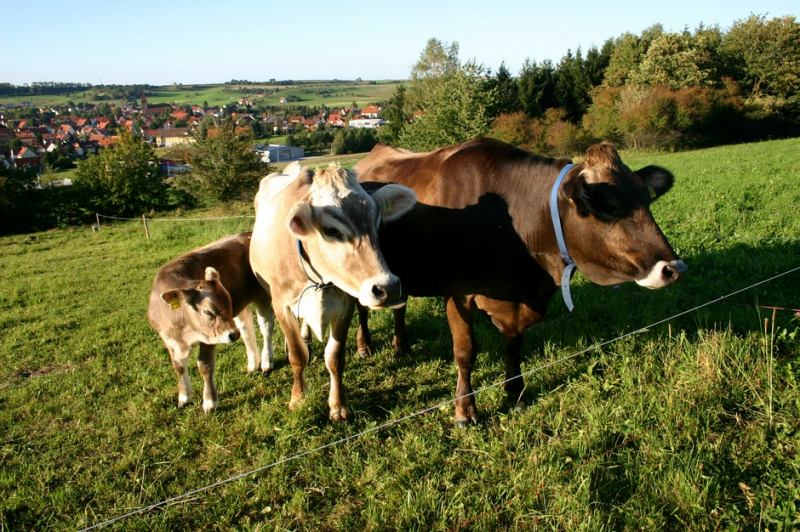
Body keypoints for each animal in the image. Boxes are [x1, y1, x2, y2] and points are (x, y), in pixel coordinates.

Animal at [148, 232, 276, 412]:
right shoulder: (168, 338)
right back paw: (253, 365)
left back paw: (266, 362)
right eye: (208, 312)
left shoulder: (209, 337)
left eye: (228, 304)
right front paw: (184, 397)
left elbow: (205, 366)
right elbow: (179, 366)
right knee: (246, 330)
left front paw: (210, 402)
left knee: (266, 327)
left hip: (262, 295)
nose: (232, 335)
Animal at [247, 161, 416, 420]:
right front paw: (298, 398)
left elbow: (335, 357)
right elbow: (297, 355)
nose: (387, 287)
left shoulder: (346, 305)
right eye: (331, 230)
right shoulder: (282, 304)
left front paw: (339, 406)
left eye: (376, 222)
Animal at [358, 139, 688, 426]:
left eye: (646, 199)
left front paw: (516, 394)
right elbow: (465, 353)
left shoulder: (517, 299)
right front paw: (464, 410)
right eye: (608, 205)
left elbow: (513, 346)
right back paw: (365, 346)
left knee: (399, 306)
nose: (674, 268)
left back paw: (401, 346)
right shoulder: (458, 293)